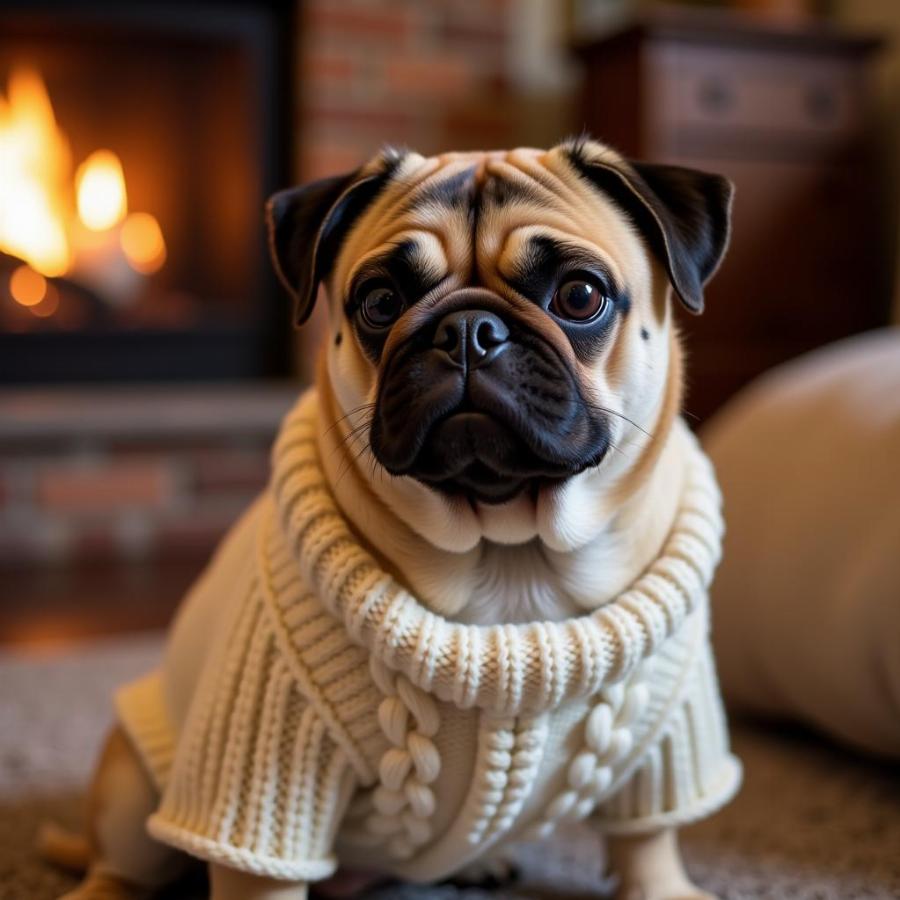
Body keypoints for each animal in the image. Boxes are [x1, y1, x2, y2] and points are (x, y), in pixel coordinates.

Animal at [44, 135, 740, 900]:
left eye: (580, 296)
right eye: (380, 302)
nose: (468, 330)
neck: (509, 550)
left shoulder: (666, 738)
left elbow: (648, 838)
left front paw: (662, 886)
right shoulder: (266, 775)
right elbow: (260, 873)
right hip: (134, 787)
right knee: (122, 861)